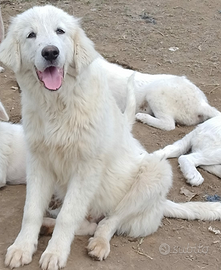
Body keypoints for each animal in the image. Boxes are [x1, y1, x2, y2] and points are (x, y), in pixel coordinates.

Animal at [0, 4, 221, 270]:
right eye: (31, 35)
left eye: (60, 31)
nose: (51, 52)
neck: (58, 105)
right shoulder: (38, 161)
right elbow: (32, 210)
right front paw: (22, 248)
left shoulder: (87, 168)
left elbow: (68, 216)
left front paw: (55, 253)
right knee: (87, 223)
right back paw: (47, 225)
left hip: (155, 173)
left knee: (109, 221)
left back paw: (99, 244)